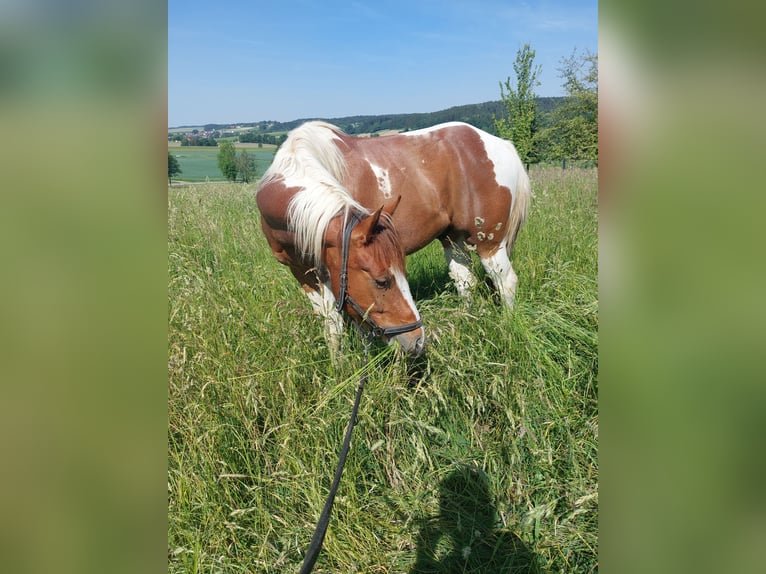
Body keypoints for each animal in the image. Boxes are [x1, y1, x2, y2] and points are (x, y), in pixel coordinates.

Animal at [256, 121, 530, 357]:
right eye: (382, 281)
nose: (417, 340)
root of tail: (500, 144)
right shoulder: (303, 271)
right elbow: (331, 323)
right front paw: (338, 365)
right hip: (454, 239)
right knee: (465, 283)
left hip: (489, 242)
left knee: (505, 282)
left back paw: (506, 327)